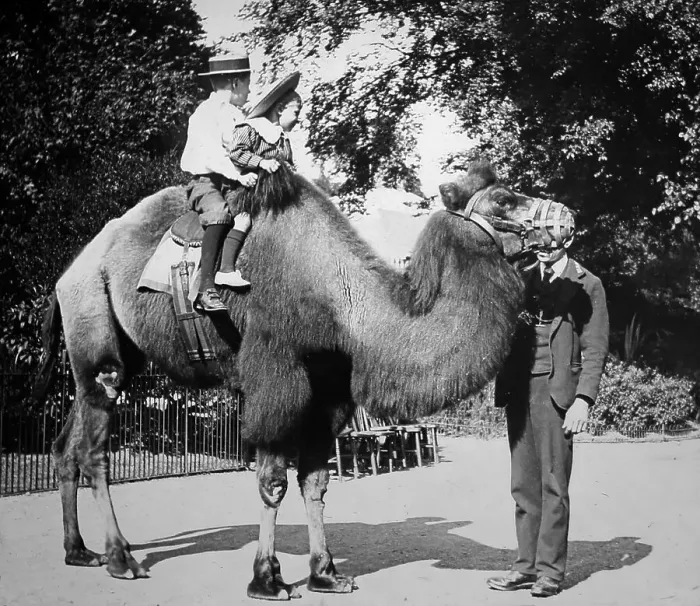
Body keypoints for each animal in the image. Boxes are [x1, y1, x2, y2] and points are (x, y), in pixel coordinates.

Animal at [33, 159, 571, 600]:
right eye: (504, 200)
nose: (566, 215)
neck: (342, 306)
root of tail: (67, 273)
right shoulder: (277, 377)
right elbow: (272, 482)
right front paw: (267, 579)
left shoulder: (326, 394)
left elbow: (316, 482)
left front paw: (325, 574)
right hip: (94, 323)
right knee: (95, 445)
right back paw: (121, 558)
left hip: (110, 347)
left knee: (65, 444)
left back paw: (78, 551)